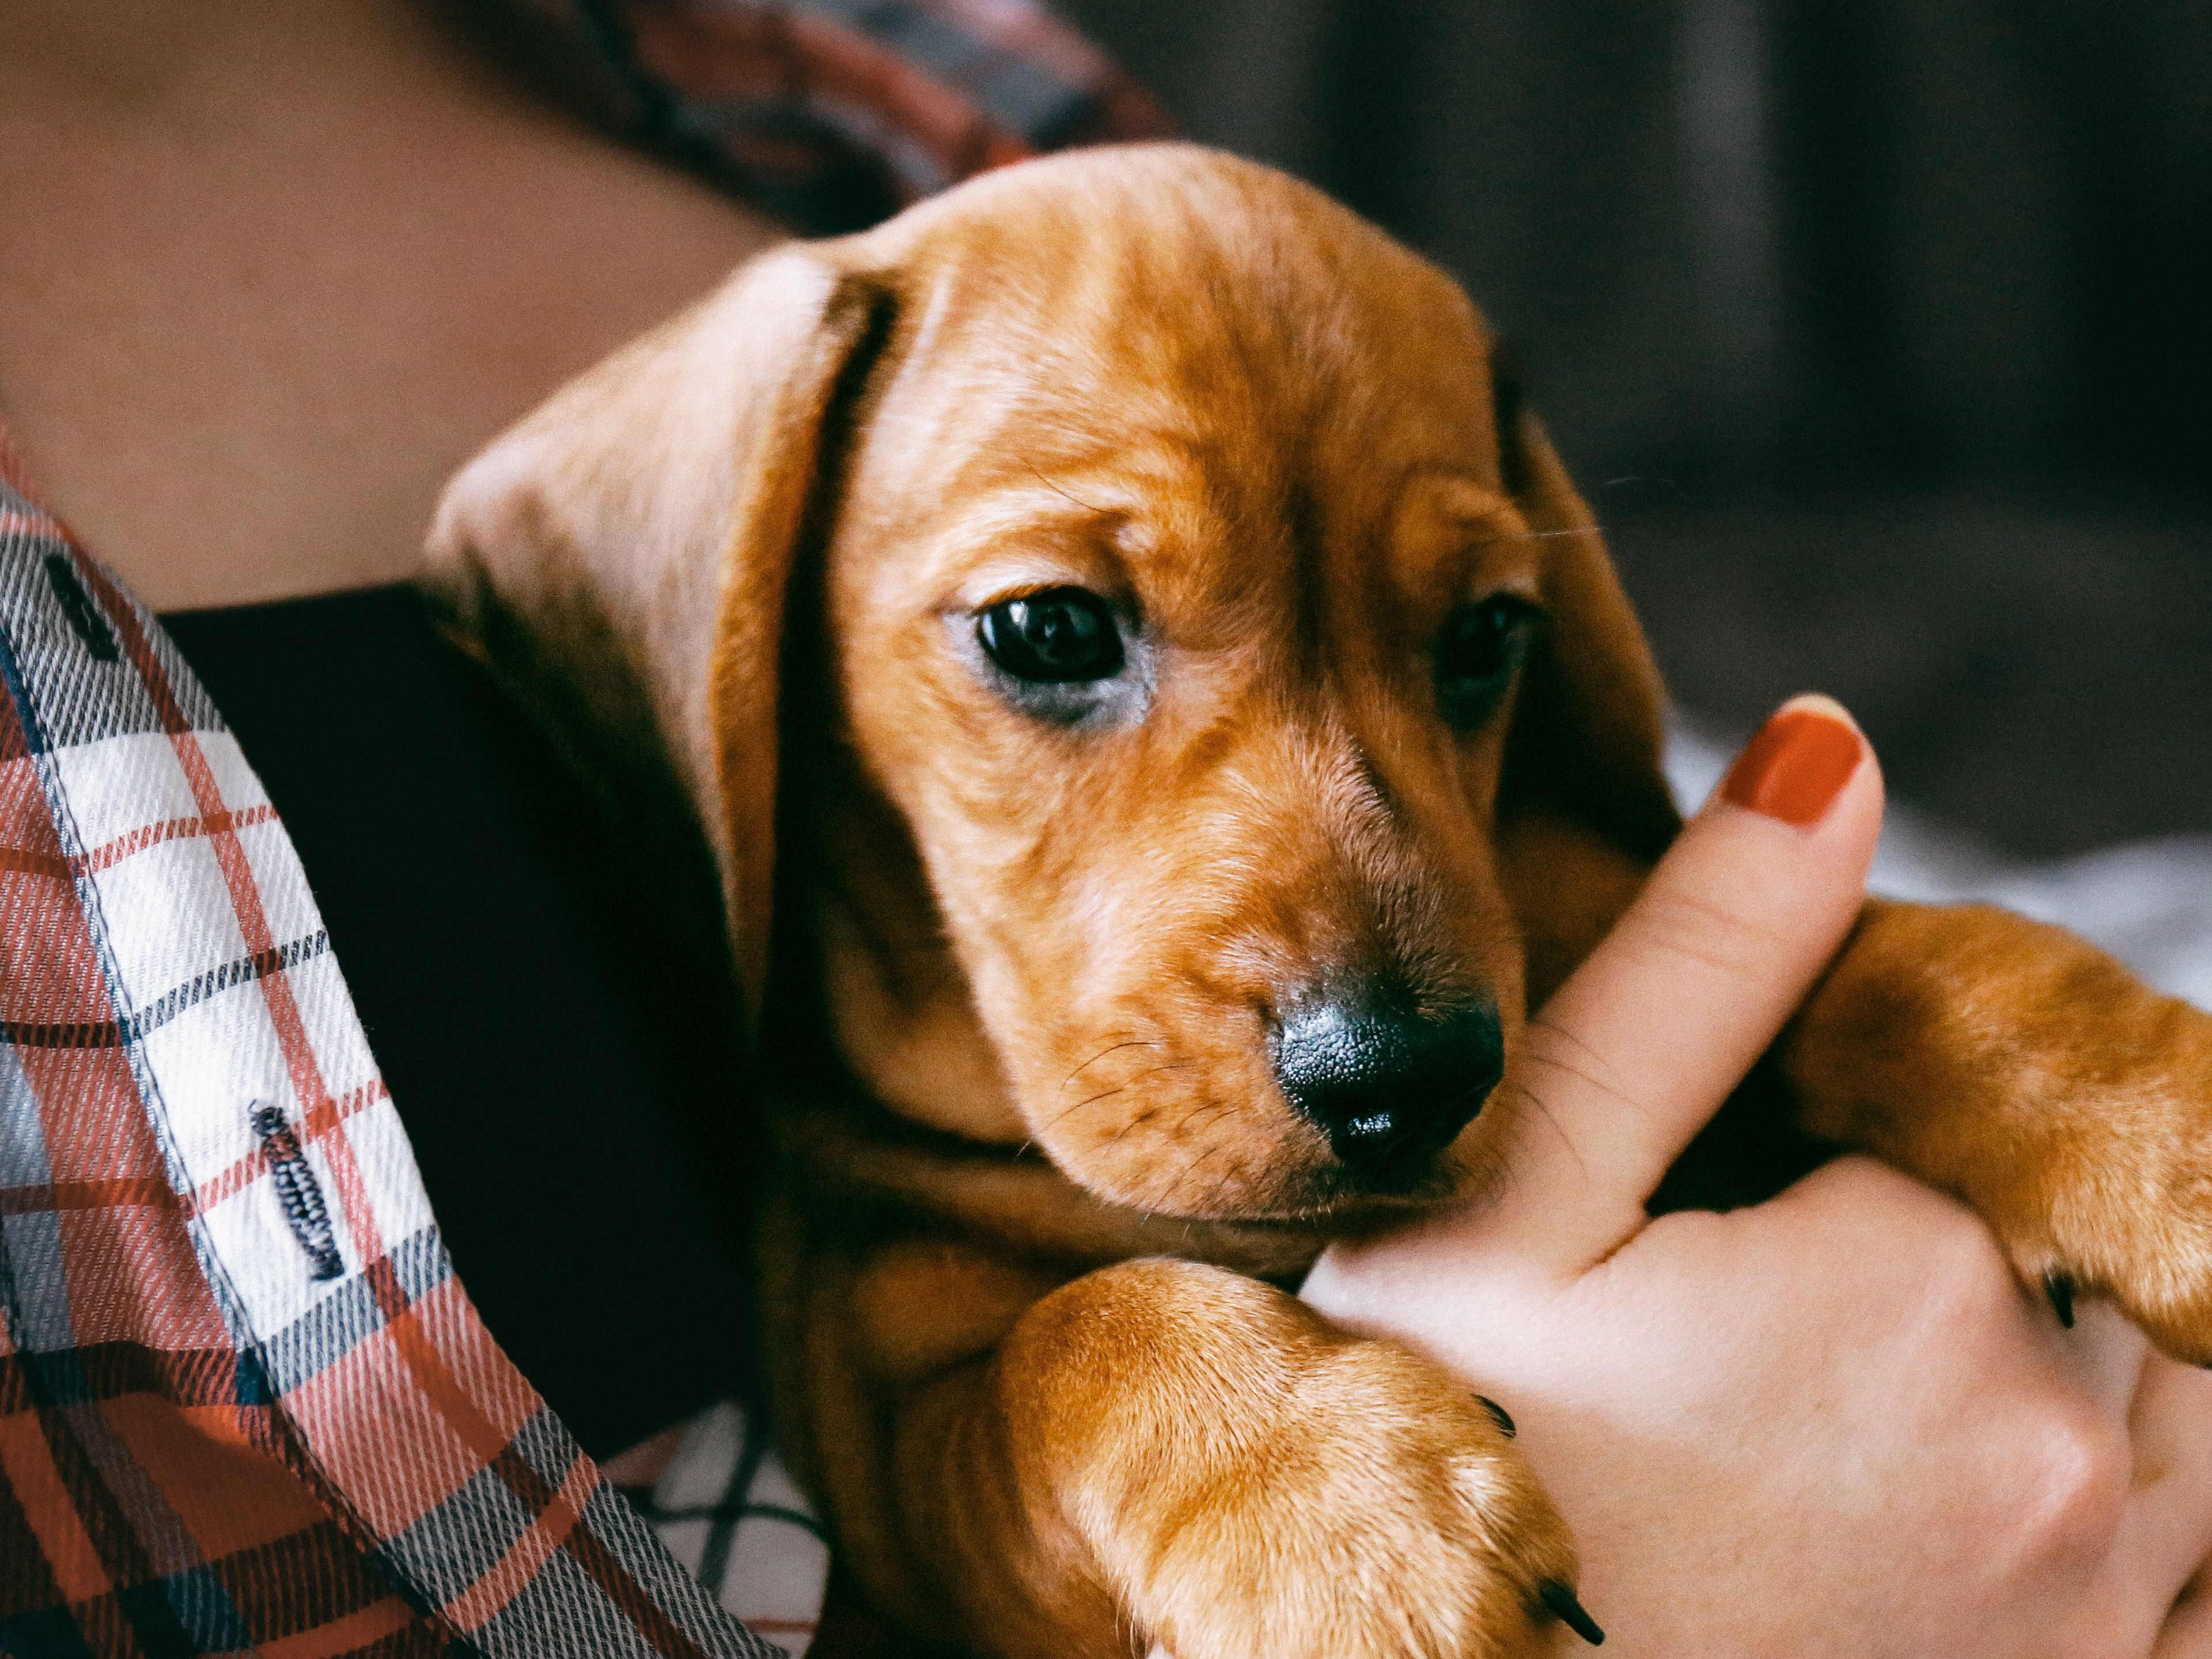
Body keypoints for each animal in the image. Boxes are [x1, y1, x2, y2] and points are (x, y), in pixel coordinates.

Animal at [418, 146, 2212, 1659]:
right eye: (1046, 629)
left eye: (1487, 635)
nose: (1403, 1083)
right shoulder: (893, 1456)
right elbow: (1076, 1337)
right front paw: (1337, 1511)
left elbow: (1909, 960)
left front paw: (2149, 1126)